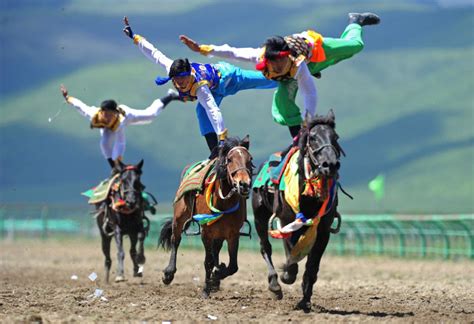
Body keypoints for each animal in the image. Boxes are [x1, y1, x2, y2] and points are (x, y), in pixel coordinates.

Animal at [159, 135, 254, 298]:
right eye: (229, 159)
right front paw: (206, 289)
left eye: (250, 159)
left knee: (216, 250)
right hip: (179, 217)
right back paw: (169, 274)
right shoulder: (206, 232)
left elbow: (233, 266)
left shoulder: (232, 234)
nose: (244, 184)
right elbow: (208, 261)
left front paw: (216, 276)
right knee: (175, 240)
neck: (222, 202)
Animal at [252, 110, 344, 312]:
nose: (330, 164)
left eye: (335, 137)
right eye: (313, 137)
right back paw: (275, 284)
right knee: (265, 247)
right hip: (260, 217)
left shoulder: (322, 230)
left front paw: (305, 300)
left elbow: (312, 266)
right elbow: (291, 258)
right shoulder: (288, 221)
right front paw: (287, 275)